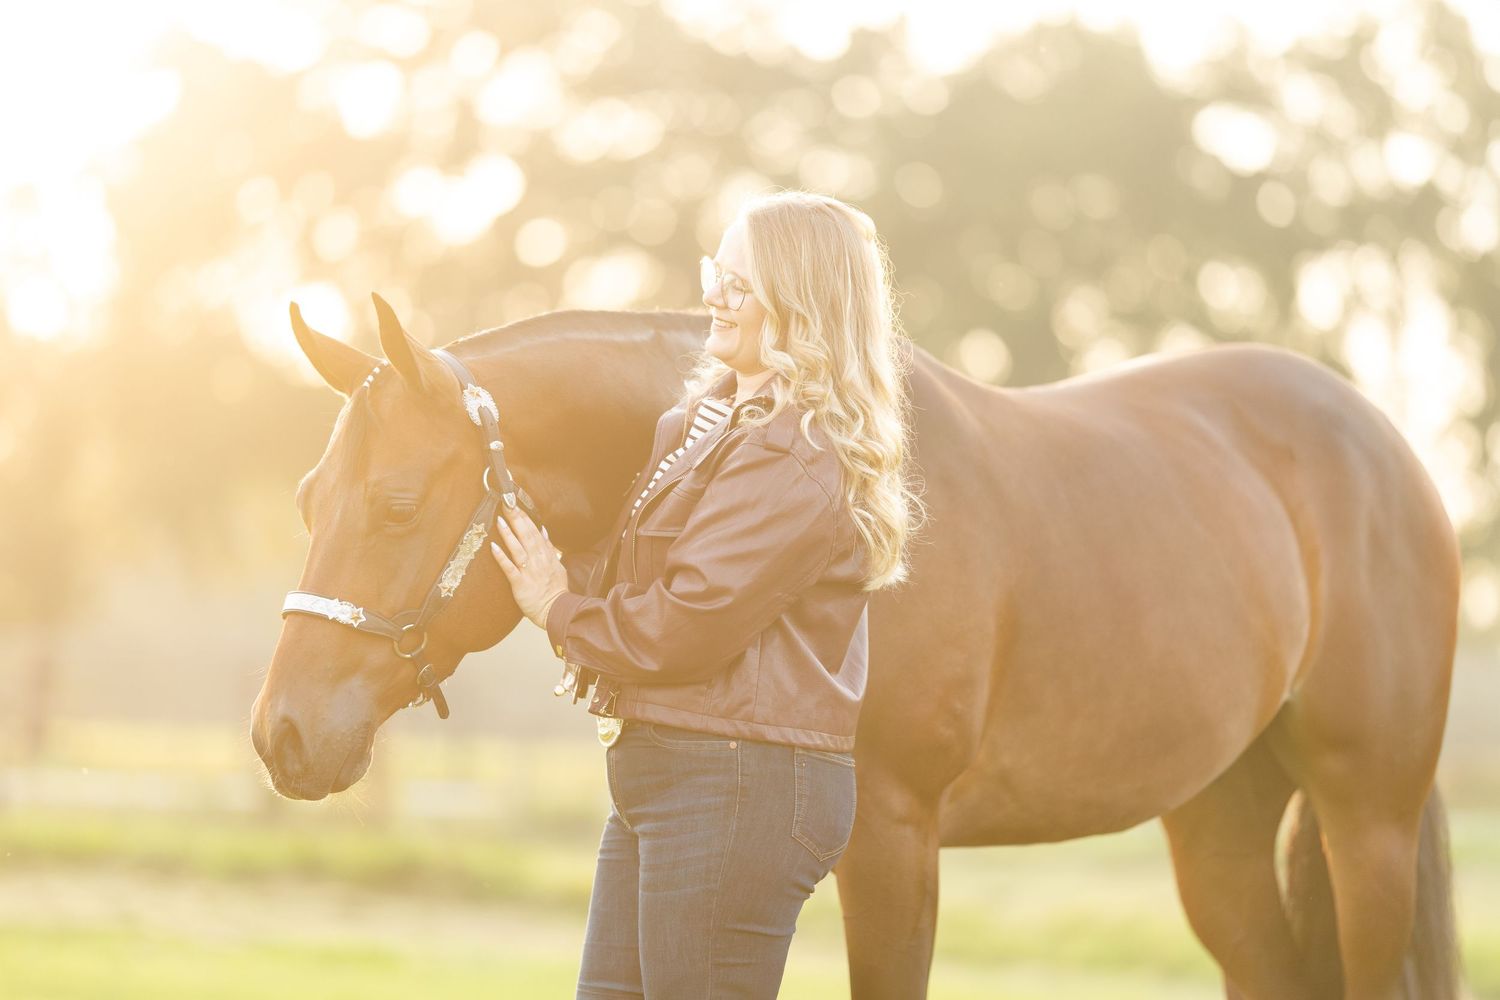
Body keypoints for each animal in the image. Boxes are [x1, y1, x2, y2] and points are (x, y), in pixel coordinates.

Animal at [252, 294, 1460, 999]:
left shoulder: (892, 842)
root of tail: (1388, 446)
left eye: (398, 504)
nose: (283, 736)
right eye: (307, 496)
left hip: (1365, 820)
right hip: (1220, 820)